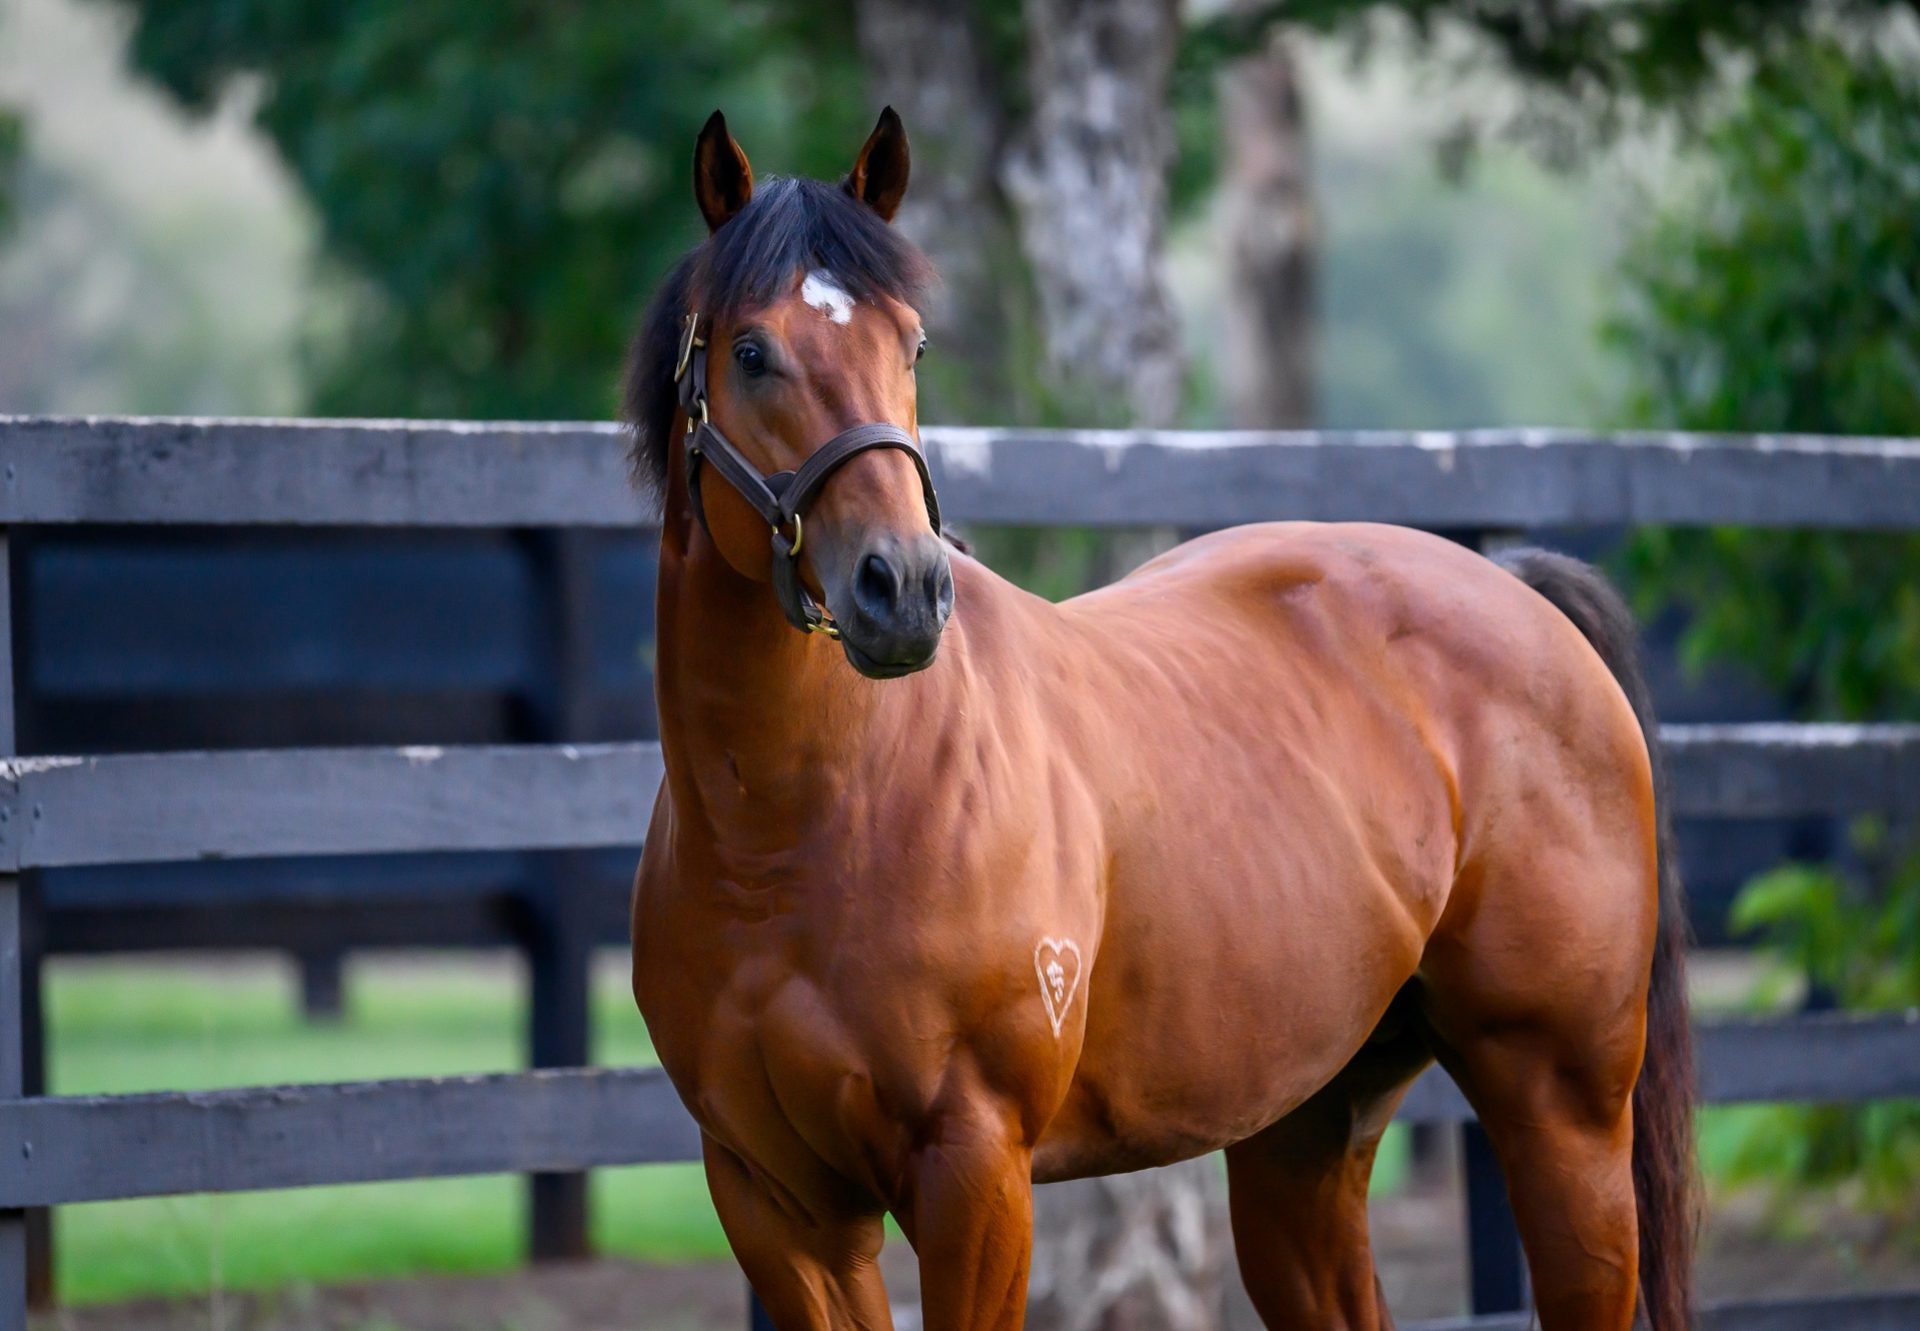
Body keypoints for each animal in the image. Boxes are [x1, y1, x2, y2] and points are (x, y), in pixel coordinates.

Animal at [629, 108, 1697, 1321]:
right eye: (751, 352)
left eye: (911, 347)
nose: (902, 587)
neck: (795, 832)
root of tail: (1519, 593)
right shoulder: (778, 1206)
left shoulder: (976, 1172)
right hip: (1304, 1133)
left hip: (1563, 1108)